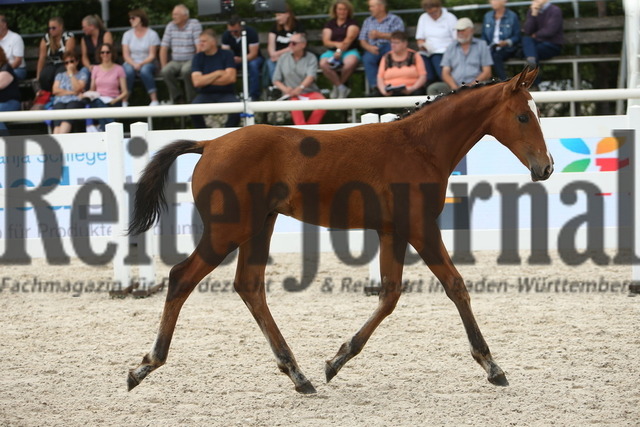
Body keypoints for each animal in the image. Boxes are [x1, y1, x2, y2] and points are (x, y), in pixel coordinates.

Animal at [126, 67, 553, 394]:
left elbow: (390, 295)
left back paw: (298, 374)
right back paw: (145, 366)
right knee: (182, 277)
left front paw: (336, 360)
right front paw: (492, 366)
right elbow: (455, 286)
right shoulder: (421, 228)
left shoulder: (392, 231)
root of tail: (210, 143)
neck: (418, 147)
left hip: (260, 227)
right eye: (523, 117)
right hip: (228, 230)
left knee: (249, 286)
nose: (545, 167)